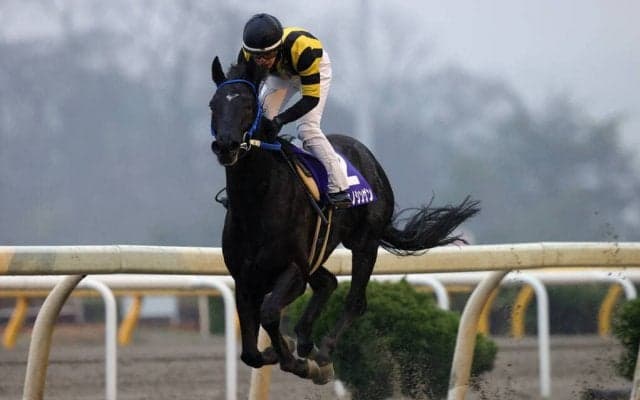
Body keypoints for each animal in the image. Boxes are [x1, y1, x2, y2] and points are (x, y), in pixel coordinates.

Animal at [208, 56, 480, 384]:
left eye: (248, 105)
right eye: (213, 105)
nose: (226, 146)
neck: (257, 204)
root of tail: (369, 158)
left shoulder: (294, 270)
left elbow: (271, 313)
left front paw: (295, 360)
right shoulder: (245, 279)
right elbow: (250, 353)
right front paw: (282, 351)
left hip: (365, 243)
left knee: (355, 300)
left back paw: (323, 351)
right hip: (322, 251)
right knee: (328, 282)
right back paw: (306, 342)